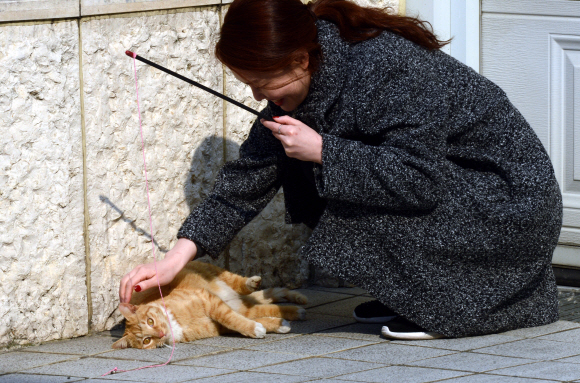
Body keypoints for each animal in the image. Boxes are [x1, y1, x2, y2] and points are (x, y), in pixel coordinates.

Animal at [110, 262, 306, 350]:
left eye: (150, 321)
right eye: (146, 340)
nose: (160, 334)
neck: (175, 324)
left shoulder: (208, 300)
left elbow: (231, 319)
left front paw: (255, 328)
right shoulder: (217, 326)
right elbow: (243, 322)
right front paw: (267, 327)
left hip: (216, 273)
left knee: (240, 284)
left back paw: (252, 283)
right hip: (244, 307)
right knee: (262, 306)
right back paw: (292, 312)